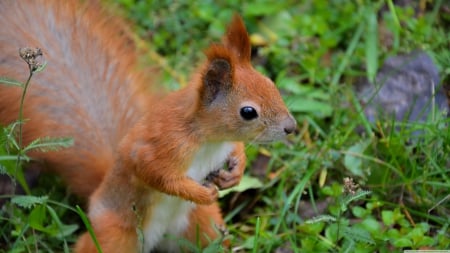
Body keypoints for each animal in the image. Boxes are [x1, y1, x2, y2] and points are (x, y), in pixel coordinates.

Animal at [0, 0, 298, 252]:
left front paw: (235, 172)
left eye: (271, 84)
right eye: (248, 112)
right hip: (115, 236)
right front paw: (202, 193)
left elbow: (234, 149)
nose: (291, 127)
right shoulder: (162, 144)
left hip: (202, 227)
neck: (208, 140)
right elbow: (155, 173)